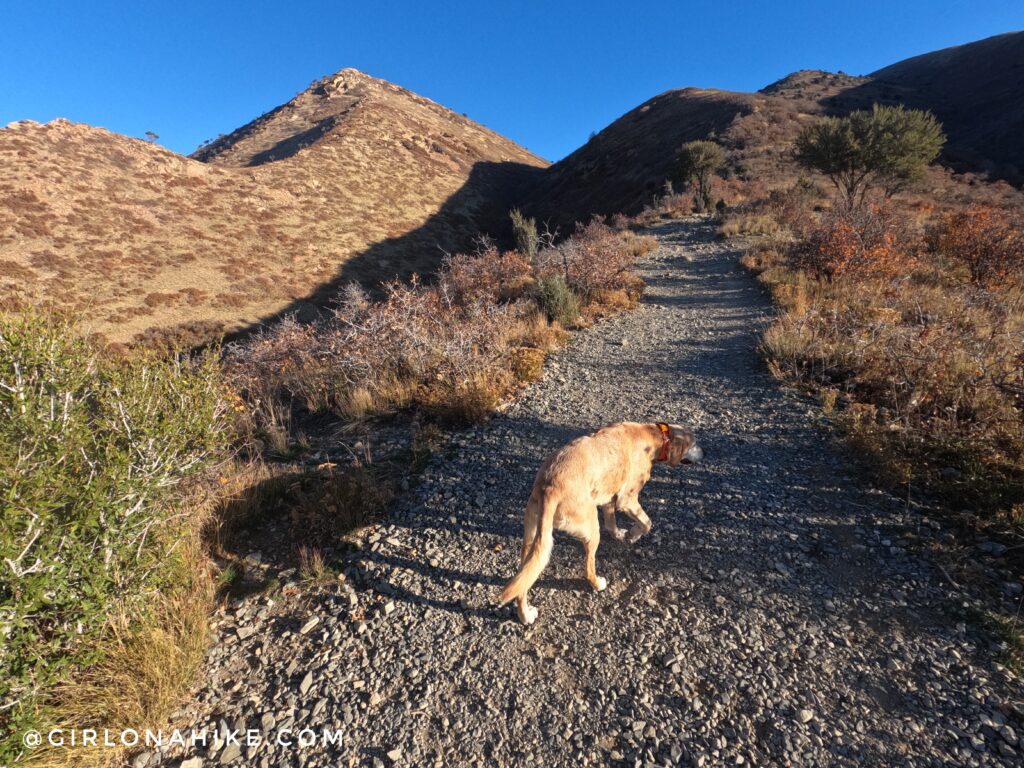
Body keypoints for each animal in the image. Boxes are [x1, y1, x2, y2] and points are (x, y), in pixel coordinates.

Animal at [497, 421, 704, 626]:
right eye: (694, 443)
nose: (705, 453)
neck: (654, 434)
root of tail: (550, 487)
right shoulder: (626, 499)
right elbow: (647, 522)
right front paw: (633, 535)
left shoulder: (609, 498)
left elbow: (612, 522)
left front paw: (620, 534)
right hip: (591, 529)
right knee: (588, 569)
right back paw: (597, 584)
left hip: (532, 540)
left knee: (523, 579)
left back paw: (525, 614)